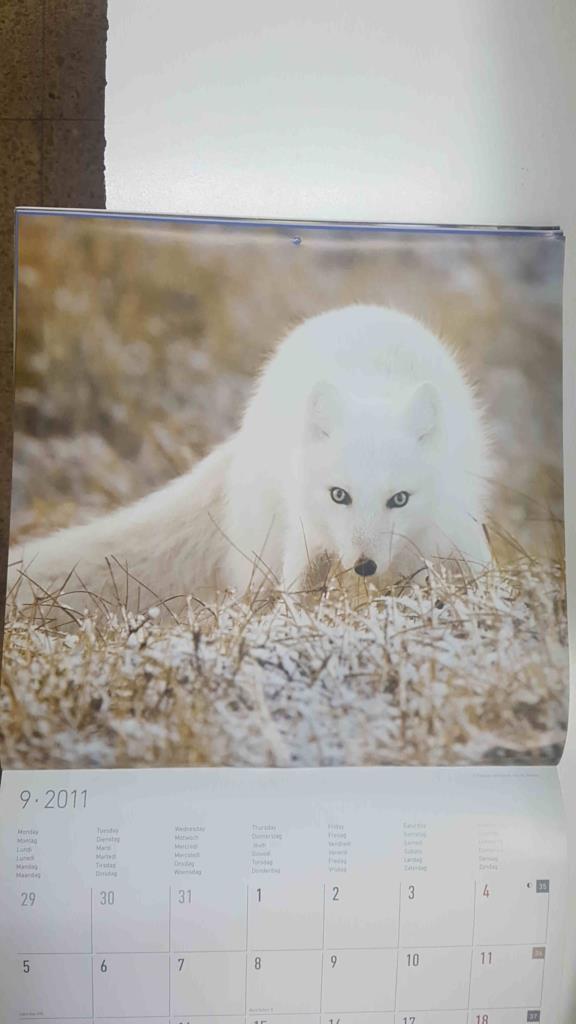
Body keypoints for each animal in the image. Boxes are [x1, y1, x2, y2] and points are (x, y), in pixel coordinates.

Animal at [7, 305, 492, 618]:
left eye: (399, 499)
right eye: (339, 495)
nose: (364, 566)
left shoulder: (453, 527)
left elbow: (478, 575)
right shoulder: (307, 535)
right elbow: (300, 592)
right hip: (265, 546)